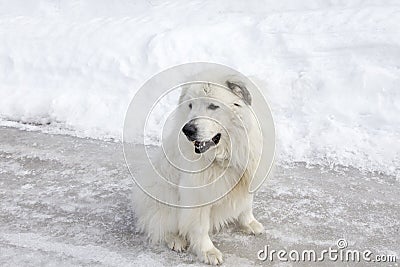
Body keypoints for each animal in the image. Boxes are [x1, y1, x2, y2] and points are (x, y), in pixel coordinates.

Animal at [134, 79, 264, 266]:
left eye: (213, 106)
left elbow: (246, 205)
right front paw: (208, 252)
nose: (187, 130)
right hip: (164, 197)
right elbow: (200, 226)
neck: (223, 156)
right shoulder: (197, 195)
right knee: (158, 226)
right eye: (190, 105)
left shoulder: (247, 176)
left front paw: (249, 223)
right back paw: (175, 239)